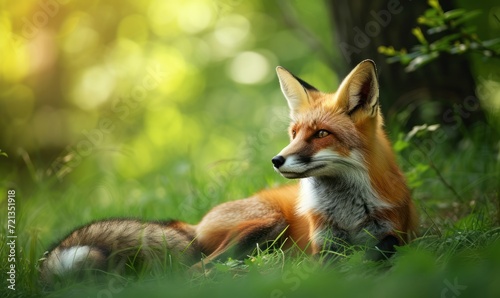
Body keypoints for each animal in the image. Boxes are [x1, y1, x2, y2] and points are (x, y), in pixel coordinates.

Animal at [40, 60, 418, 284]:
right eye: (294, 133)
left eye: (322, 134)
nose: (277, 160)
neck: (349, 213)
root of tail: (194, 223)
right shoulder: (324, 248)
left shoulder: (392, 238)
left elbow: (382, 259)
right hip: (267, 223)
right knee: (196, 268)